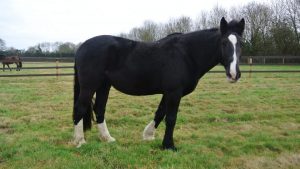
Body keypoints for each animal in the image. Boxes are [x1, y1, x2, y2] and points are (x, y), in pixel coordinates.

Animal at [72, 16, 244, 150]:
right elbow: (171, 118)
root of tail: (82, 47)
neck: (186, 54)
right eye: (224, 43)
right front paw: (169, 145)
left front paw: (148, 135)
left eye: (241, 44)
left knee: (99, 109)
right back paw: (79, 141)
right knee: (80, 108)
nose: (234, 74)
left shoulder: (168, 93)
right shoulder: (174, 92)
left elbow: (160, 113)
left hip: (104, 85)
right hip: (89, 86)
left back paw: (107, 139)